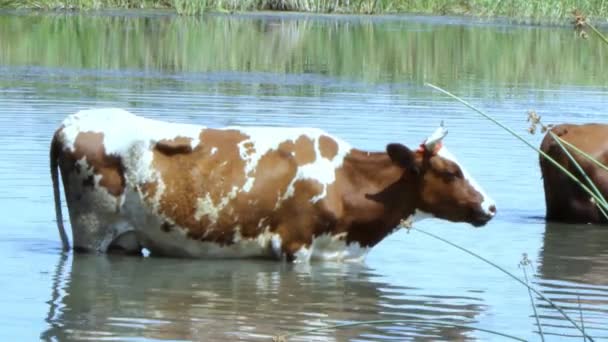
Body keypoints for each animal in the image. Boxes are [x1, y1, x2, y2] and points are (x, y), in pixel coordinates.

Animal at [52, 109, 496, 262]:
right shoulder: (294, 246)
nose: (491, 207)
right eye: (451, 172)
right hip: (91, 233)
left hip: (123, 239)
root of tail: (71, 122)